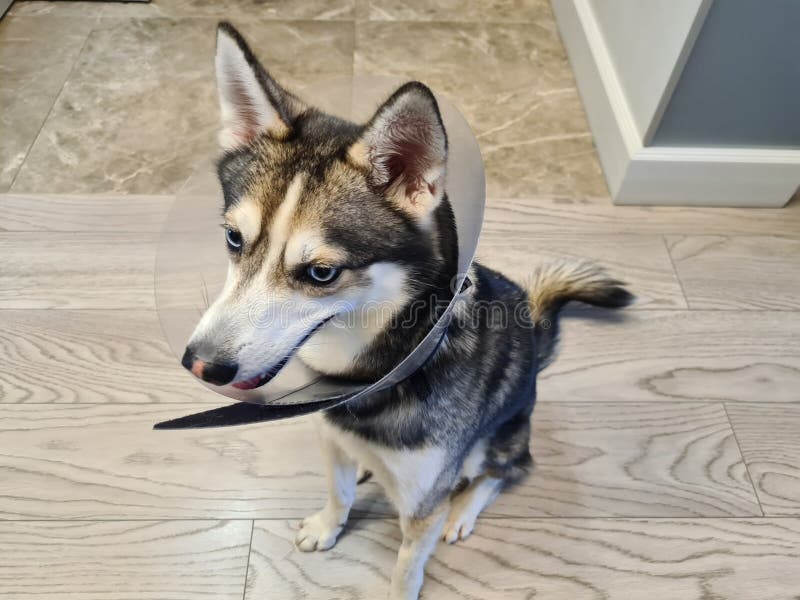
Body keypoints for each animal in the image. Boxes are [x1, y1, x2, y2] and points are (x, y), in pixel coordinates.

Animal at [184, 23, 636, 600]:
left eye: (321, 273)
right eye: (233, 239)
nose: (200, 364)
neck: (376, 373)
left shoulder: (424, 496)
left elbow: (407, 561)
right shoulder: (330, 440)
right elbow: (338, 490)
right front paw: (329, 525)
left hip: (502, 439)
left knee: (501, 471)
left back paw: (463, 509)